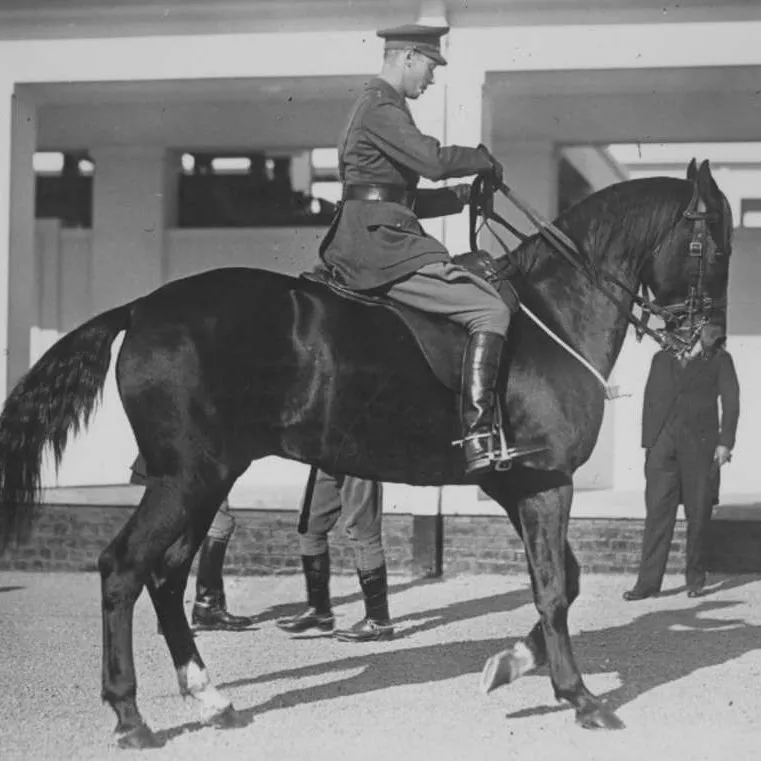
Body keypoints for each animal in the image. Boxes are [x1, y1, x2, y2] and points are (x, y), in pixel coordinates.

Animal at [0, 157, 732, 744]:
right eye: (712, 245)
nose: (707, 342)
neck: (550, 312)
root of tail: (144, 307)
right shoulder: (546, 483)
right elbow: (554, 589)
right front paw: (578, 696)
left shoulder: (518, 485)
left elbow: (565, 582)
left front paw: (510, 666)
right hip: (186, 479)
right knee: (124, 568)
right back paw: (131, 716)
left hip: (204, 480)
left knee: (168, 575)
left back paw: (210, 698)